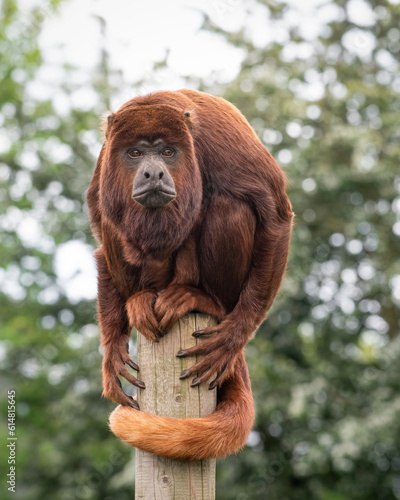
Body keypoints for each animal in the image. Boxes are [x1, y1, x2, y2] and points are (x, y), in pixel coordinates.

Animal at [86, 88, 294, 458]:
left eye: (168, 152)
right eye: (135, 153)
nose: (153, 173)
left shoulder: (216, 138)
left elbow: (275, 216)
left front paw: (232, 337)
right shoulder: (104, 158)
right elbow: (100, 226)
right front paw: (111, 351)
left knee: (230, 204)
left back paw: (203, 299)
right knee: (114, 223)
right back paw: (140, 299)